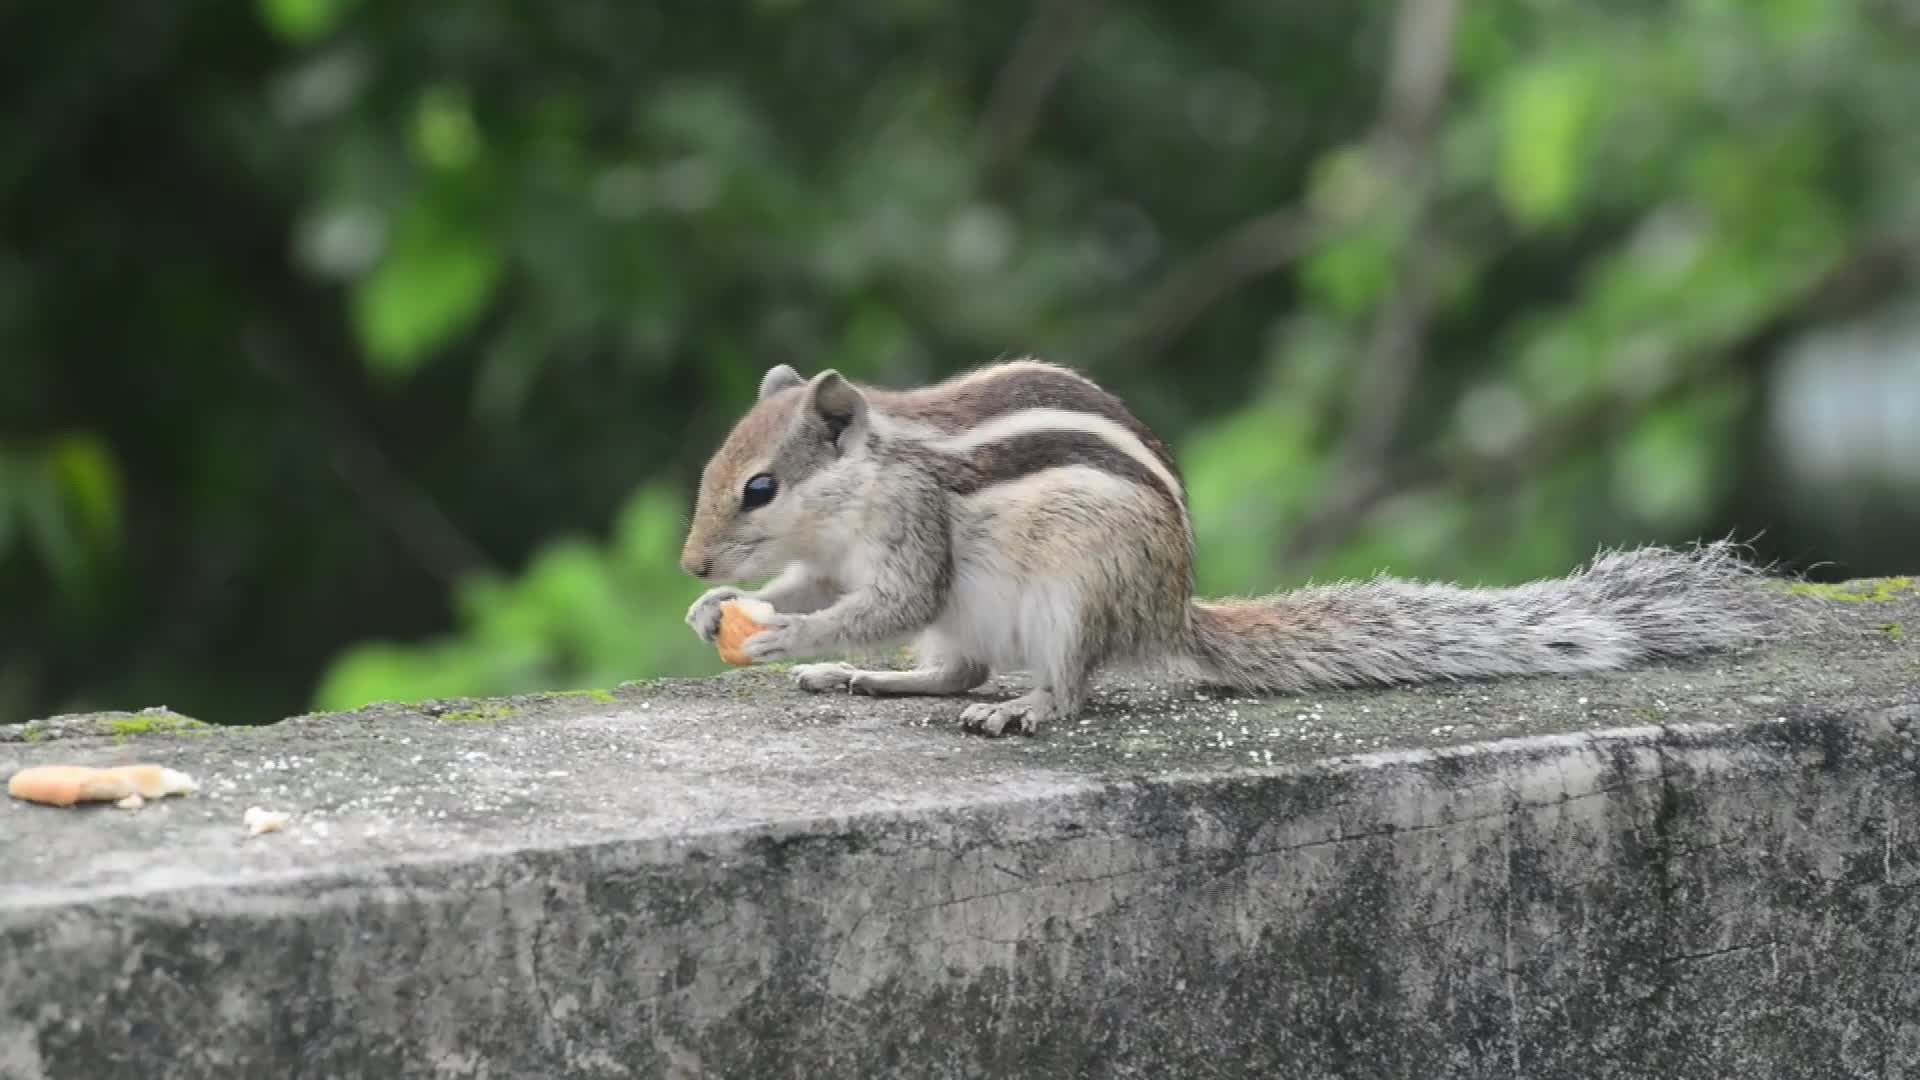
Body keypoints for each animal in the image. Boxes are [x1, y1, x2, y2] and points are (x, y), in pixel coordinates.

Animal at [678, 359, 1799, 737]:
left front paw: (778, 636)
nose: (691, 564)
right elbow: (816, 588)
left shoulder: (913, 528)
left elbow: (889, 601)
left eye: (759, 487)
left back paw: (1025, 707)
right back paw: (871, 681)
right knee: (951, 668)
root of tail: (1172, 611)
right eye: (716, 471)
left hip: (1072, 595)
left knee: (1058, 685)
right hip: (986, 618)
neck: (860, 485)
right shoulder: (835, 557)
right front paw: (723, 616)